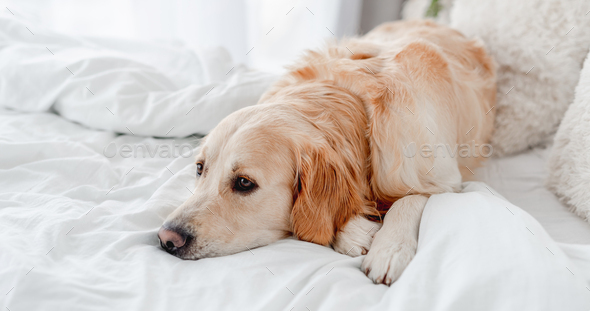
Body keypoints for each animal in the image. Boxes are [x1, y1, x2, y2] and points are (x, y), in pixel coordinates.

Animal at [157, 20, 494, 286]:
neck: (356, 107)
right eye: (200, 168)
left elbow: (411, 199)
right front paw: (357, 234)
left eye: (243, 183)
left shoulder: (448, 181)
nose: (166, 238)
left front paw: (389, 249)